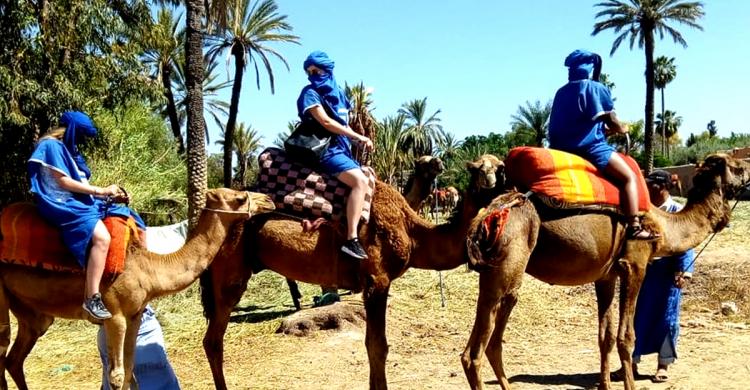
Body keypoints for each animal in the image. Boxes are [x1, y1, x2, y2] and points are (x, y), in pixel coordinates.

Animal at [0, 189, 276, 390]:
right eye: (239, 197)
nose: (269, 200)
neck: (149, 267)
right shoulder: (115, 316)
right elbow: (116, 375)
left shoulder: (134, 315)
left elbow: (131, 370)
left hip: (33, 315)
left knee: (13, 359)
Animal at [200, 154, 506, 388]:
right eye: (478, 168)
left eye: (500, 167)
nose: (494, 180)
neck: (412, 231)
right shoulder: (377, 281)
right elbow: (378, 346)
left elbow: (374, 346)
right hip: (230, 274)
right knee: (213, 340)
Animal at [462, 153, 750, 390]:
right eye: (737, 167)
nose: (748, 168)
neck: (664, 228)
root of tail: (490, 214)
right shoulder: (635, 265)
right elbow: (627, 336)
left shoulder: (606, 276)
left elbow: (606, 336)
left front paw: (605, 384)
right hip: (508, 266)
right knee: (475, 352)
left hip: (497, 275)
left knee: (489, 343)